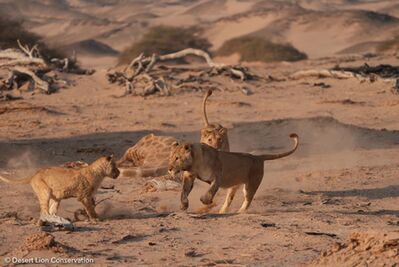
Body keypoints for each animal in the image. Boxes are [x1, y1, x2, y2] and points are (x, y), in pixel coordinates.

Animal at [169, 135, 300, 215]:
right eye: (170, 158)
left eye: (177, 158)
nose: (169, 169)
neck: (194, 163)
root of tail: (258, 157)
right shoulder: (189, 176)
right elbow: (184, 192)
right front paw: (183, 206)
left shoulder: (218, 176)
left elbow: (211, 190)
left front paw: (205, 200)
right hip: (234, 186)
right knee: (229, 199)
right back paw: (222, 211)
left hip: (251, 184)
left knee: (248, 199)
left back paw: (240, 211)